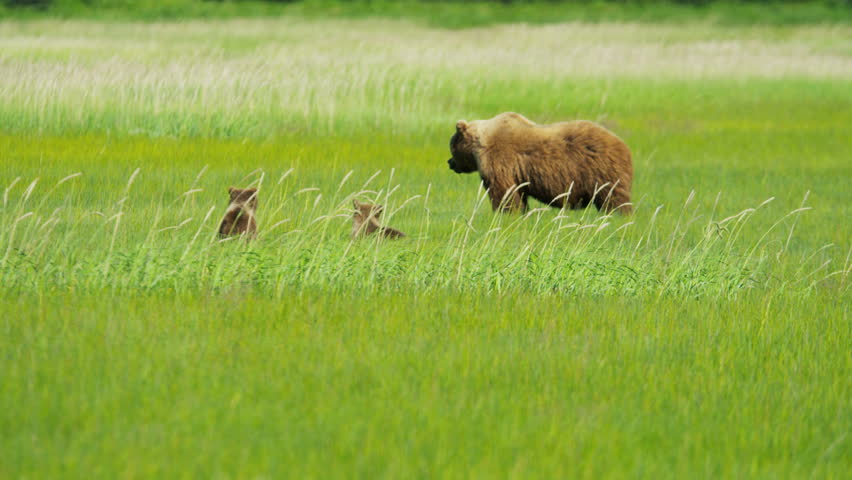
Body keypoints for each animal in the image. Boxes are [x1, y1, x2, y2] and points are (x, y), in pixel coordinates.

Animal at [447, 112, 633, 214]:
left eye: (452, 147)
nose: (450, 163)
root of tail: (624, 146)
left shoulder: (499, 159)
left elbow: (503, 192)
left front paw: (505, 213)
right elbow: (518, 195)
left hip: (602, 171)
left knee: (614, 200)